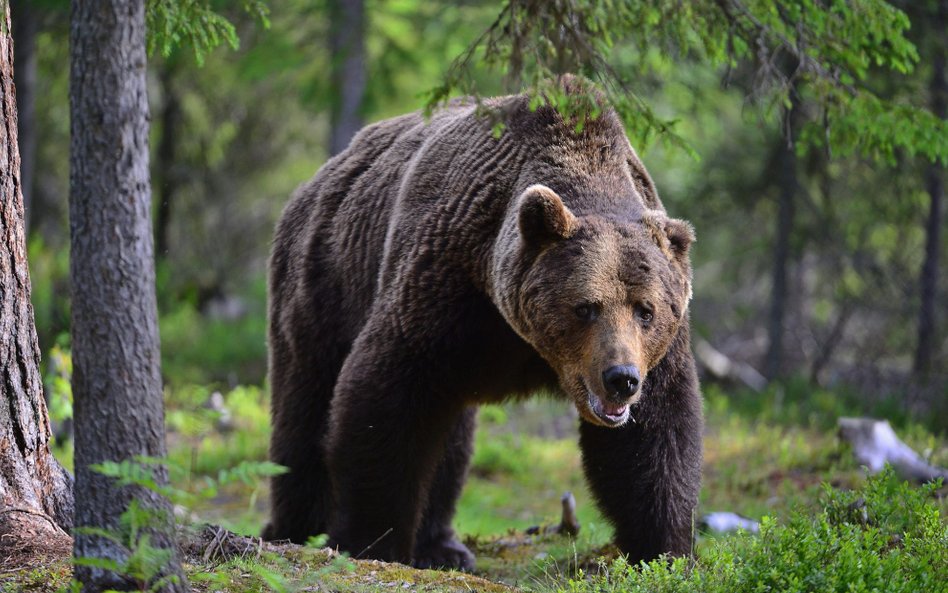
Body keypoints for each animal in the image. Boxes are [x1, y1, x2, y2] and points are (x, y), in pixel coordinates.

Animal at [262, 78, 700, 568]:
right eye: (585, 307)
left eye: (646, 310)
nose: (620, 379)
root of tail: (315, 180)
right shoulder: (446, 286)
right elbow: (385, 401)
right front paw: (368, 540)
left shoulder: (657, 355)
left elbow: (654, 438)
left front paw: (663, 550)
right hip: (324, 279)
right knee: (304, 404)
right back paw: (293, 528)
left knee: (450, 439)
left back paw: (442, 546)